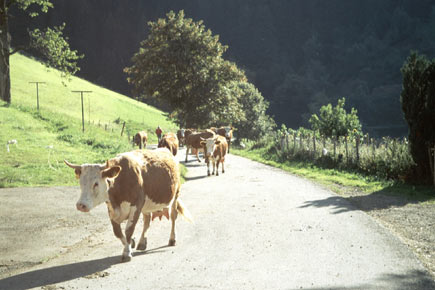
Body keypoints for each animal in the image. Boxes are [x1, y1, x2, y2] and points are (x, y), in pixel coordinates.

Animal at [64, 150, 192, 262]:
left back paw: (172, 239)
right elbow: (118, 233)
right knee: (147, 221)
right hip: (146, 206)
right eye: (80, 183)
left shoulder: (136, 206)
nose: (81, 205)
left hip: (175, 196)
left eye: (96, 183)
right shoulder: (112, 210)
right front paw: (131, 243)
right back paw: (142, 242)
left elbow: (128, 230)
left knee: (173, 217)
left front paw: (127, 252)